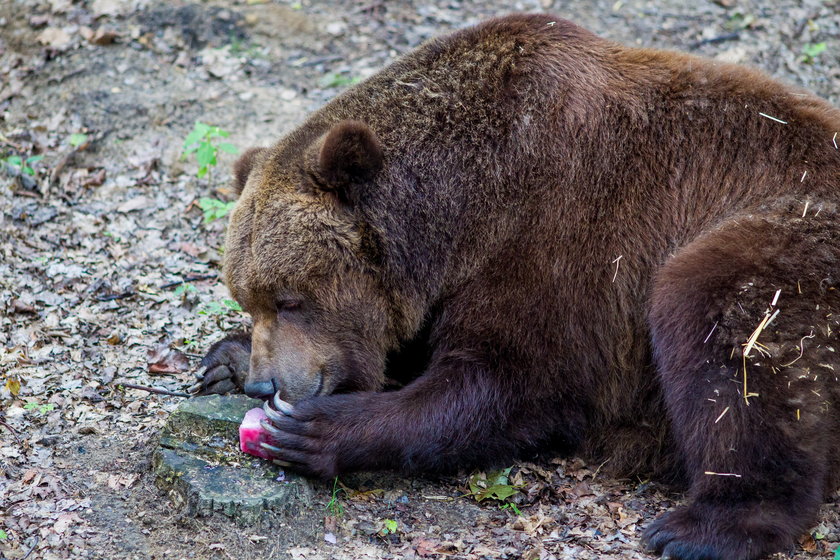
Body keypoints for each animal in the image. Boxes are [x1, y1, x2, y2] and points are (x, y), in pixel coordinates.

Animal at [194, 14, 840, 560]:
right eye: (248, 299)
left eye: (291, 298)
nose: (265, 385)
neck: (458, 208)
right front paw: (224, 359)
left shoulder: (559, 232)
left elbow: (513, 379)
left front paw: (316, 430)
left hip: (793, 235)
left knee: (724, 322)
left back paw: (703, 527)